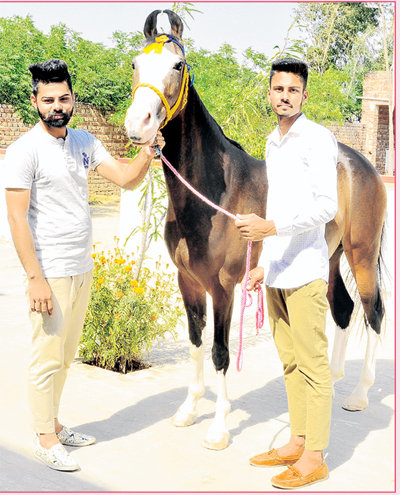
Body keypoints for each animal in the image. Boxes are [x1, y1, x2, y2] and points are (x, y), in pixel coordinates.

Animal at [124, 10, 387, 450]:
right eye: (134, 64)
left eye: (178, 65)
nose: (138, 124)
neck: (215, 191)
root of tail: (361, 164)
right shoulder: (188, 282)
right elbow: (196, 344)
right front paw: (188, 411)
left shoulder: (223, 287)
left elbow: (219, 352)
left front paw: (218, 428)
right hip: (331, 258)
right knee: (344, 309)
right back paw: (332, 384)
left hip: (361, 254)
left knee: (373, 311)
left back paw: (359, 395)